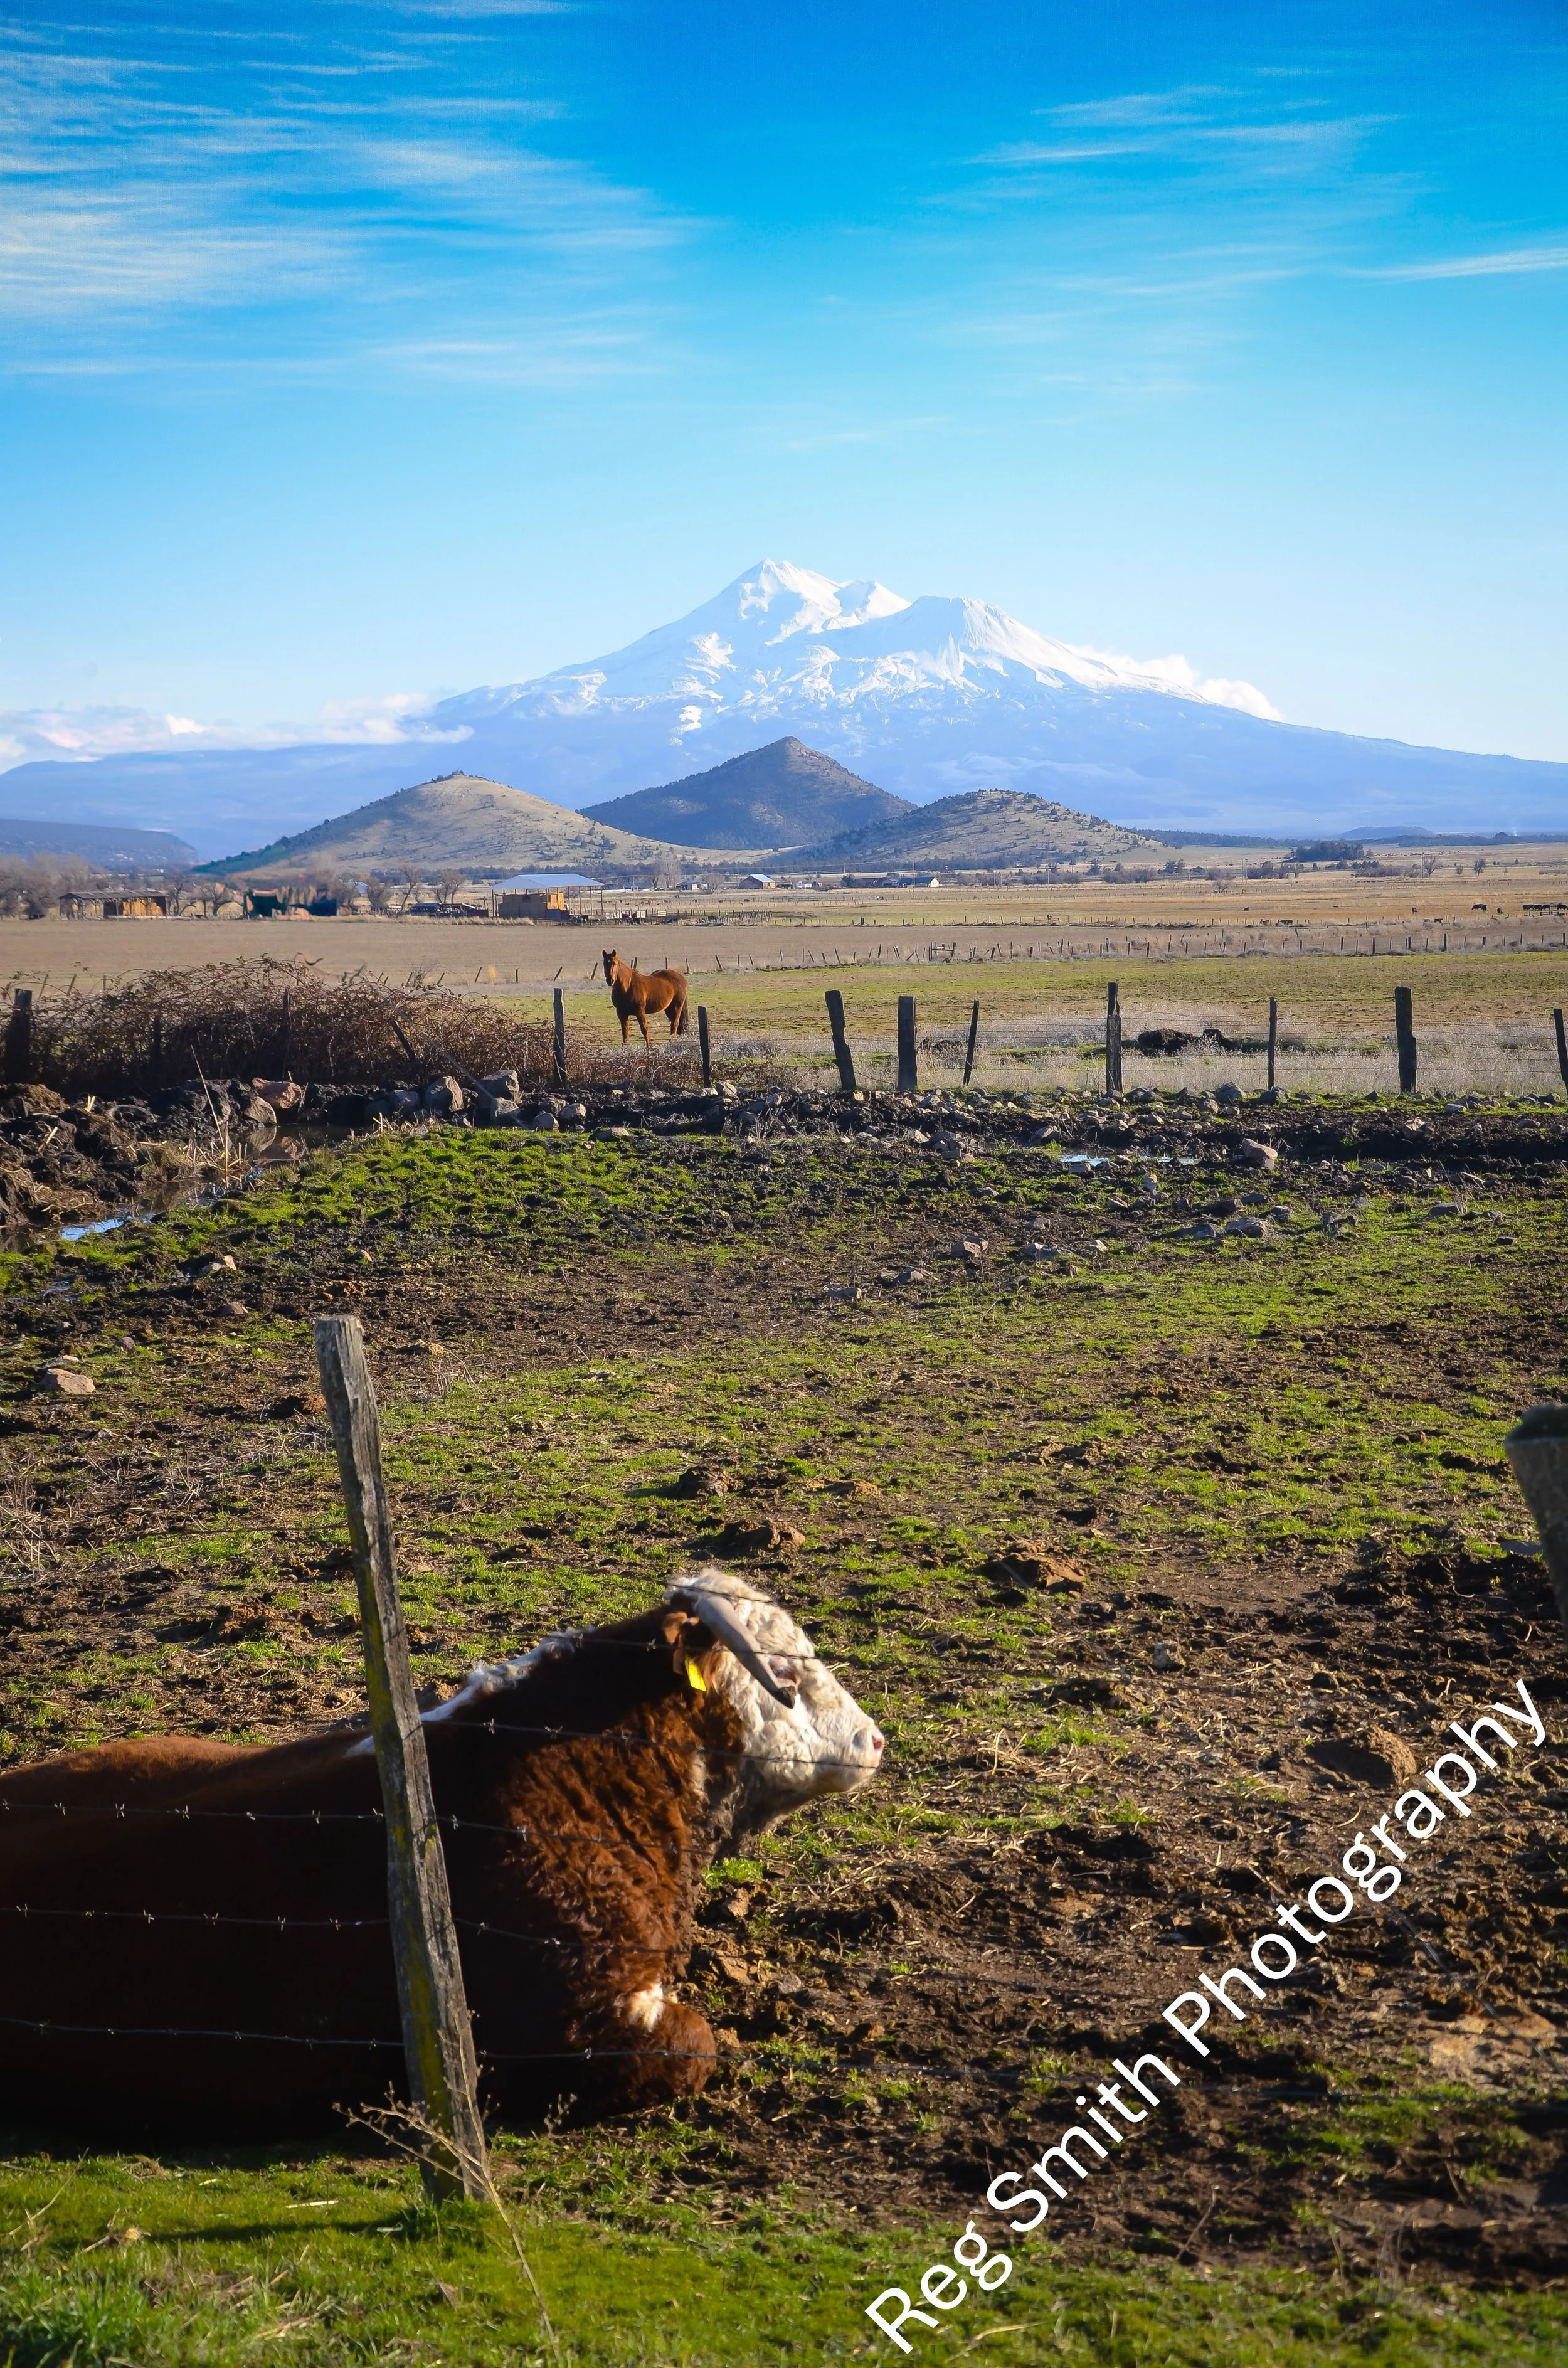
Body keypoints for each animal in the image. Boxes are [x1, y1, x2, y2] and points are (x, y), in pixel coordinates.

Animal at [603, 949, 689, 1045]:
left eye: (614, 963)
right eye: (604, 964)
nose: (610, 981)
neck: (627, 986)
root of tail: (682, 978)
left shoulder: (640, 1011)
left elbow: (644, 1029)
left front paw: (649, 1047)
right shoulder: (621, 1013)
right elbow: (625, 1033)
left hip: (677, 1007)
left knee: (675, 1024)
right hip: (669, 1009)